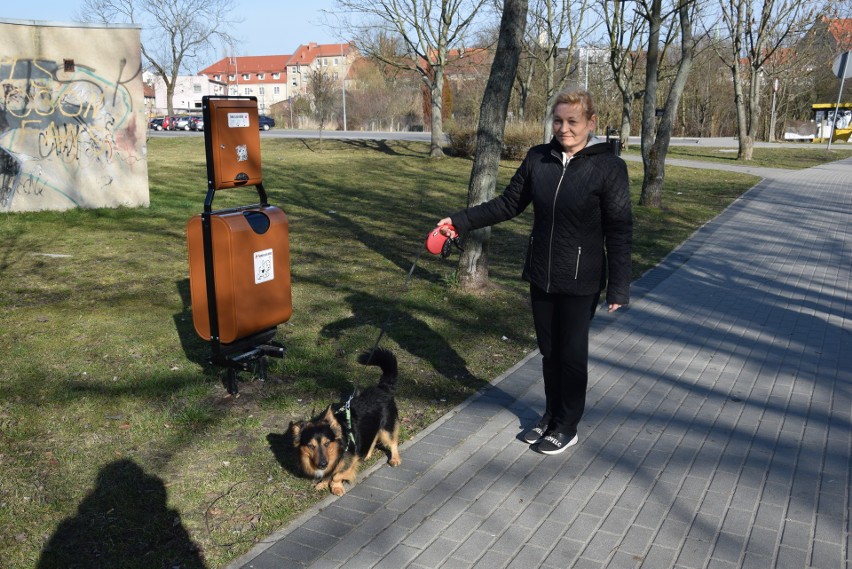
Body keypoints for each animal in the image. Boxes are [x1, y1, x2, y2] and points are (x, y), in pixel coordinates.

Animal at [290, 346, 402, 492]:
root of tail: (382, 388)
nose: (322, 464)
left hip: (387, 428)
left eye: (327, 443)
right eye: (310, 446)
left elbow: (338, 474)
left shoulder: (350, 459)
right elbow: (330, 473)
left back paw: (395, 459)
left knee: (392, 442)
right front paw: (323, 483)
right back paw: (366, 455)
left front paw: (336, 486)